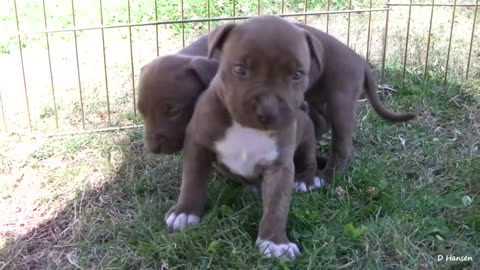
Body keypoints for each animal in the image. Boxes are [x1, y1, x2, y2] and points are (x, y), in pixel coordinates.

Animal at [163, 15, 324, 260]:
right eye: (240, 69)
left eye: (297, 74)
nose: (267, 110)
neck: (247, 128)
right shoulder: (197, 144)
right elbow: (191, 180)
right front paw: (185, 212)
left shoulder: (280, 166)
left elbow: (277, 205)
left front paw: (274, 242)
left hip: (306, 135)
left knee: (309, 159)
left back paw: (305, 180)